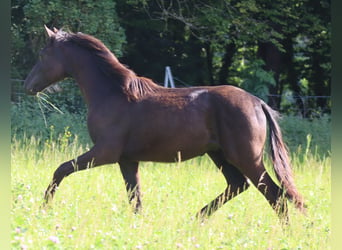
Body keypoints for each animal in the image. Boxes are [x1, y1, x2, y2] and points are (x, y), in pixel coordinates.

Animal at [24, 25, 304, 221]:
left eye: (43, 54)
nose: (28, 86)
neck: (112, 93)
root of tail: (258, 102)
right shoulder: (127, 160)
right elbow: (135, 198)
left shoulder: (104, 152)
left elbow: (61, 169)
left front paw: (44, 207)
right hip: (220, 155)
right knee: (239, 185)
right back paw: (195, 219)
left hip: (246, 157)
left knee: (275, 195)